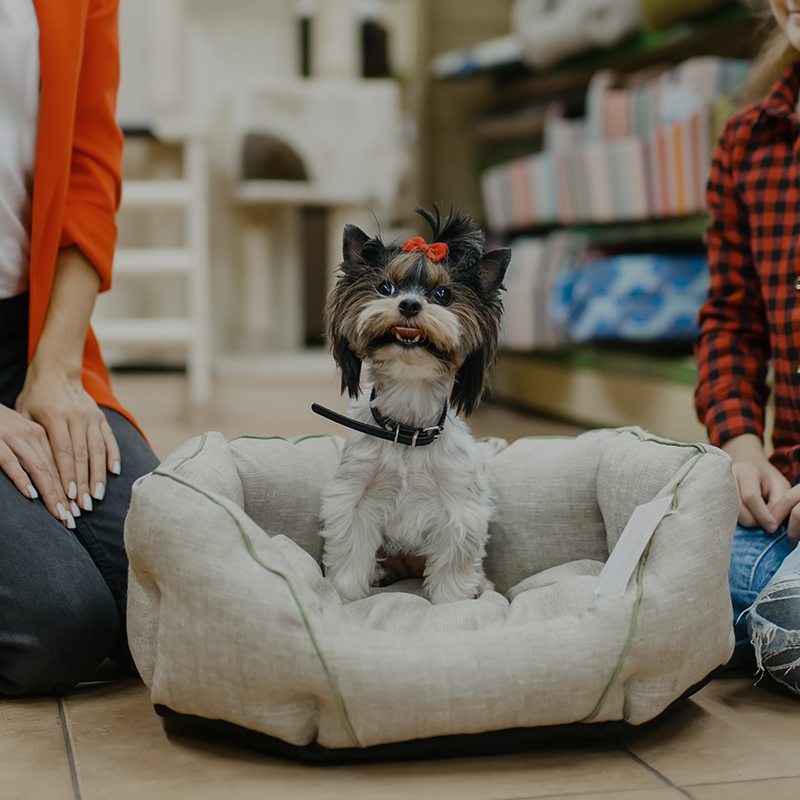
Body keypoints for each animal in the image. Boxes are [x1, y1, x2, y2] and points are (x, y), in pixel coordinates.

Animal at [316, 209, 510, 604]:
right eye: (385, 288)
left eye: (442, 294)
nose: (409, 304)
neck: (407, 429)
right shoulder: (354, 499)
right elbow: (350, 554)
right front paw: (344, 596)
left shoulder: (459, 508)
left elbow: (453, 566)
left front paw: (453, 601)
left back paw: (480, 586)